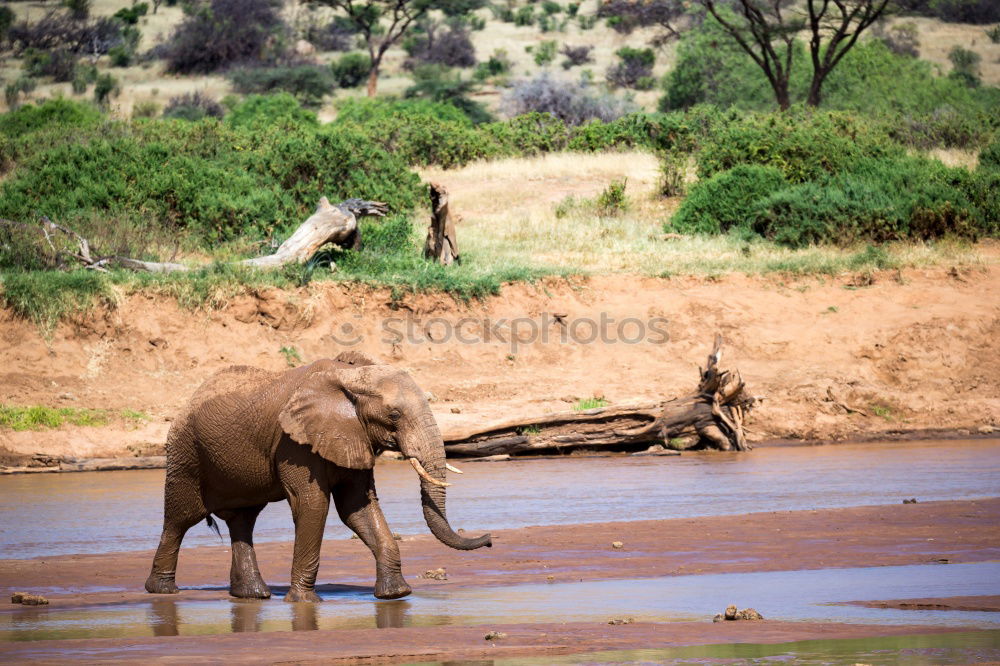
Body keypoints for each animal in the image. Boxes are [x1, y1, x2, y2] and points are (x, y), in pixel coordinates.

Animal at [146, 352, 492, 600]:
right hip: (185, 455)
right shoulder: (294, 442)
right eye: (394, 415)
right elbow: (312, 504)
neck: (350, 376)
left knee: (242, 520)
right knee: (180, 519)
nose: (489, 539)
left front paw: (396, 595)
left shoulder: (352, 435)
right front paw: (304, 602)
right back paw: (162, 591)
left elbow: (357, 507)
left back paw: (252, 596)